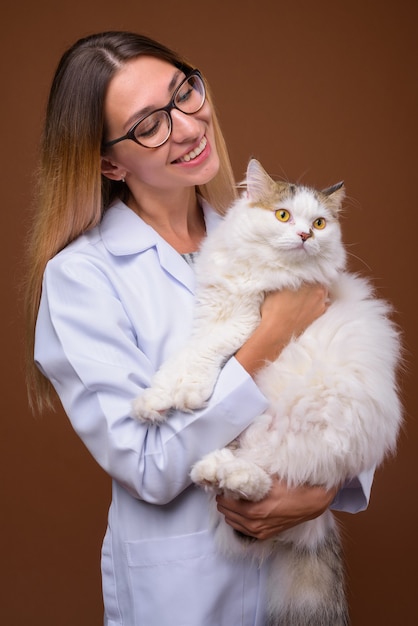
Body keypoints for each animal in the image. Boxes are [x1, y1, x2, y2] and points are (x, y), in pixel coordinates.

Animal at [132, 158, 404, 620]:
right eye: (282, 215)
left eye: (319, 222)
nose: (305, 235)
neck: (260, 272)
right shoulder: (214, 311)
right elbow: (183, 360)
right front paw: (154, 400)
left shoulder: (244, 322)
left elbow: (205, 354)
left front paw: (186, 395)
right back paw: (214, 469)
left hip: (296, 430)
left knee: (264, 479)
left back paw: (221, 473)